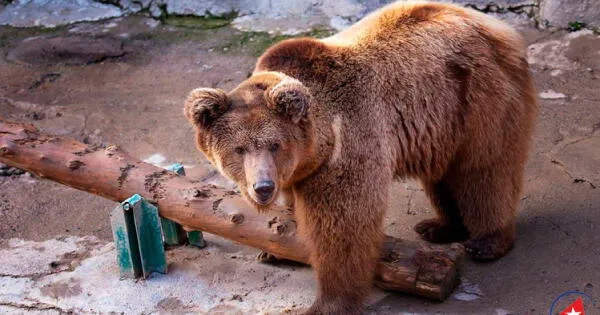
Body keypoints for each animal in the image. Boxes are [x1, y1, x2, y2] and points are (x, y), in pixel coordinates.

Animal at [185, 1, 536, 314]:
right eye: (239, 148)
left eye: (274, 145)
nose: (263, 187)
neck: (316, 145)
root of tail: (498, 28)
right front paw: (272, 250)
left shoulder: (348, 145)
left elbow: (344, 227)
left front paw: (328, 303)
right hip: (442, 125)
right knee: (443, 175)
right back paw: (440, 226)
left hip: (475, 99)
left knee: (485, 170)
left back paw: (486, 240)